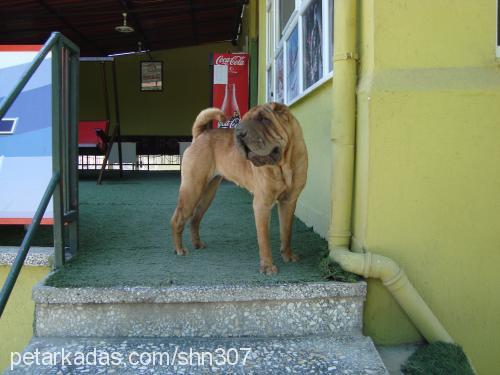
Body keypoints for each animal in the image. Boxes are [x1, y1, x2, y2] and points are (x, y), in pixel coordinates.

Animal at [170, 101, 306, 274]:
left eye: (264, 119)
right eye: (244, 119)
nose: (240, 132)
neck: (284, 164)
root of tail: (200, 135)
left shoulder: (289, 202)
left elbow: (286, 232)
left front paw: (287, 255)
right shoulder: (262, 204)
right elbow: (264, 239)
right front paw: (268, 266)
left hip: (207, 194)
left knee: (195, 219)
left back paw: (197, 244)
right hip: (192, 189)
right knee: (177, 219)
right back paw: (179, 249)